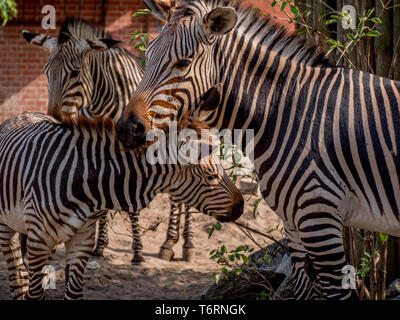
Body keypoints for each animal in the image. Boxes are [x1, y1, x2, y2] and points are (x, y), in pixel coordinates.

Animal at [0, 111, 244, 298]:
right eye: (211, 176)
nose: (241, 207)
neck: (84, 179)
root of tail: (19, 115)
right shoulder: (40, 239)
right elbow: (33, 292)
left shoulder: (82, 239)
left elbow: (74, 293)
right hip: (10, 229)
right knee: (18, 278)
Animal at [21, 16, 195, 264]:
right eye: (46, 72)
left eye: (75, 73)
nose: (54, 118)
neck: (101, 103)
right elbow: (100, 201)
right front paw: (100, 246)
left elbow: (133, 208)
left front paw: (137, 252)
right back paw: (169, 243)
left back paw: (184, 243)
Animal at [115, 0, 400, 300]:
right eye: (147, 55)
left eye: (183, 63)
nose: (126, 129)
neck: (287, 114)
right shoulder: (295, 226)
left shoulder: (319, 218)